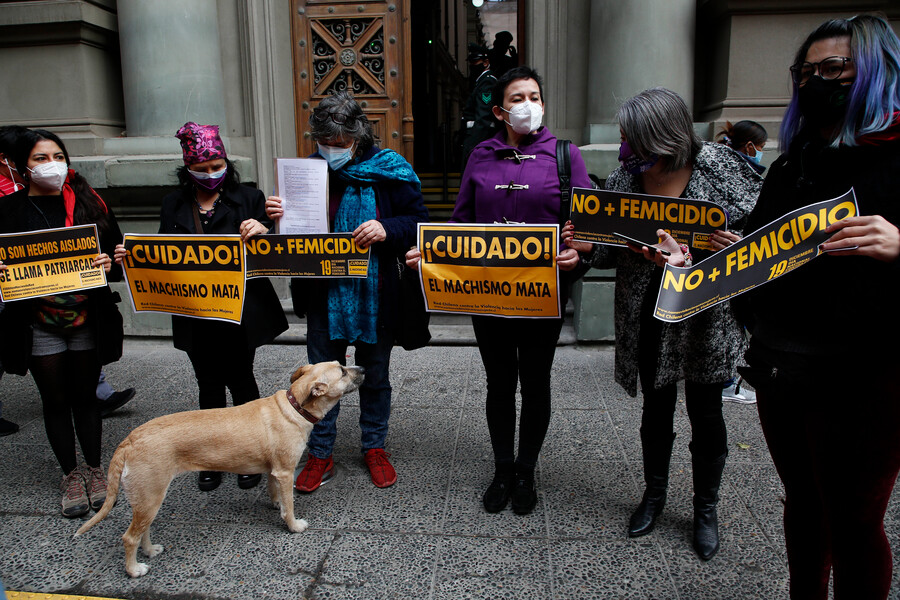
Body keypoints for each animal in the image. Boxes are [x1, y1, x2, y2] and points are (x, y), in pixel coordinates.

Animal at [74, 360, 362, 576]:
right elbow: (289, 506)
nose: (363, 368)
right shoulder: (285, 471)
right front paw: (293, 525)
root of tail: (130, 440)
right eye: (342, 371)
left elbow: (276, 493)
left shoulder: (275, 470)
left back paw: (150, 551)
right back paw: (134, 569)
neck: (293, 408)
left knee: (142, 530)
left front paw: (277, 505)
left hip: (147, 500)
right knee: (129, 537)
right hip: (150, 496)